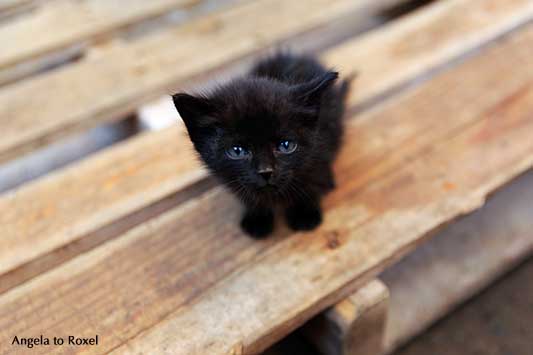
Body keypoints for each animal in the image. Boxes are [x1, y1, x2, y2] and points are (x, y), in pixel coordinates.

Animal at [172, 52, 352, 238]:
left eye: (286, 145)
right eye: (237, 151)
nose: (266, 171)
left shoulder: (321, 145)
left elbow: (312, 180)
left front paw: (305, 213)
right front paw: (257, 218)